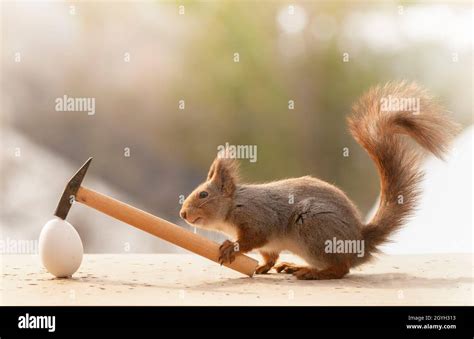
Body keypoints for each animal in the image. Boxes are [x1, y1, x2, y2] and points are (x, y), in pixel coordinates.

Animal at [179, 81, 460, 278]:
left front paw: (232, 248)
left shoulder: (258, 218)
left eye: (203, 194)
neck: (233, 206)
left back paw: (311, 273)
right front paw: (262, 267)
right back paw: (293, 266)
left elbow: (254, 238)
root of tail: (359, 243)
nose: (182, 214)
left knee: (341, 269)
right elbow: (269, 255)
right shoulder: (269, 243)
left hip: (314, 227)